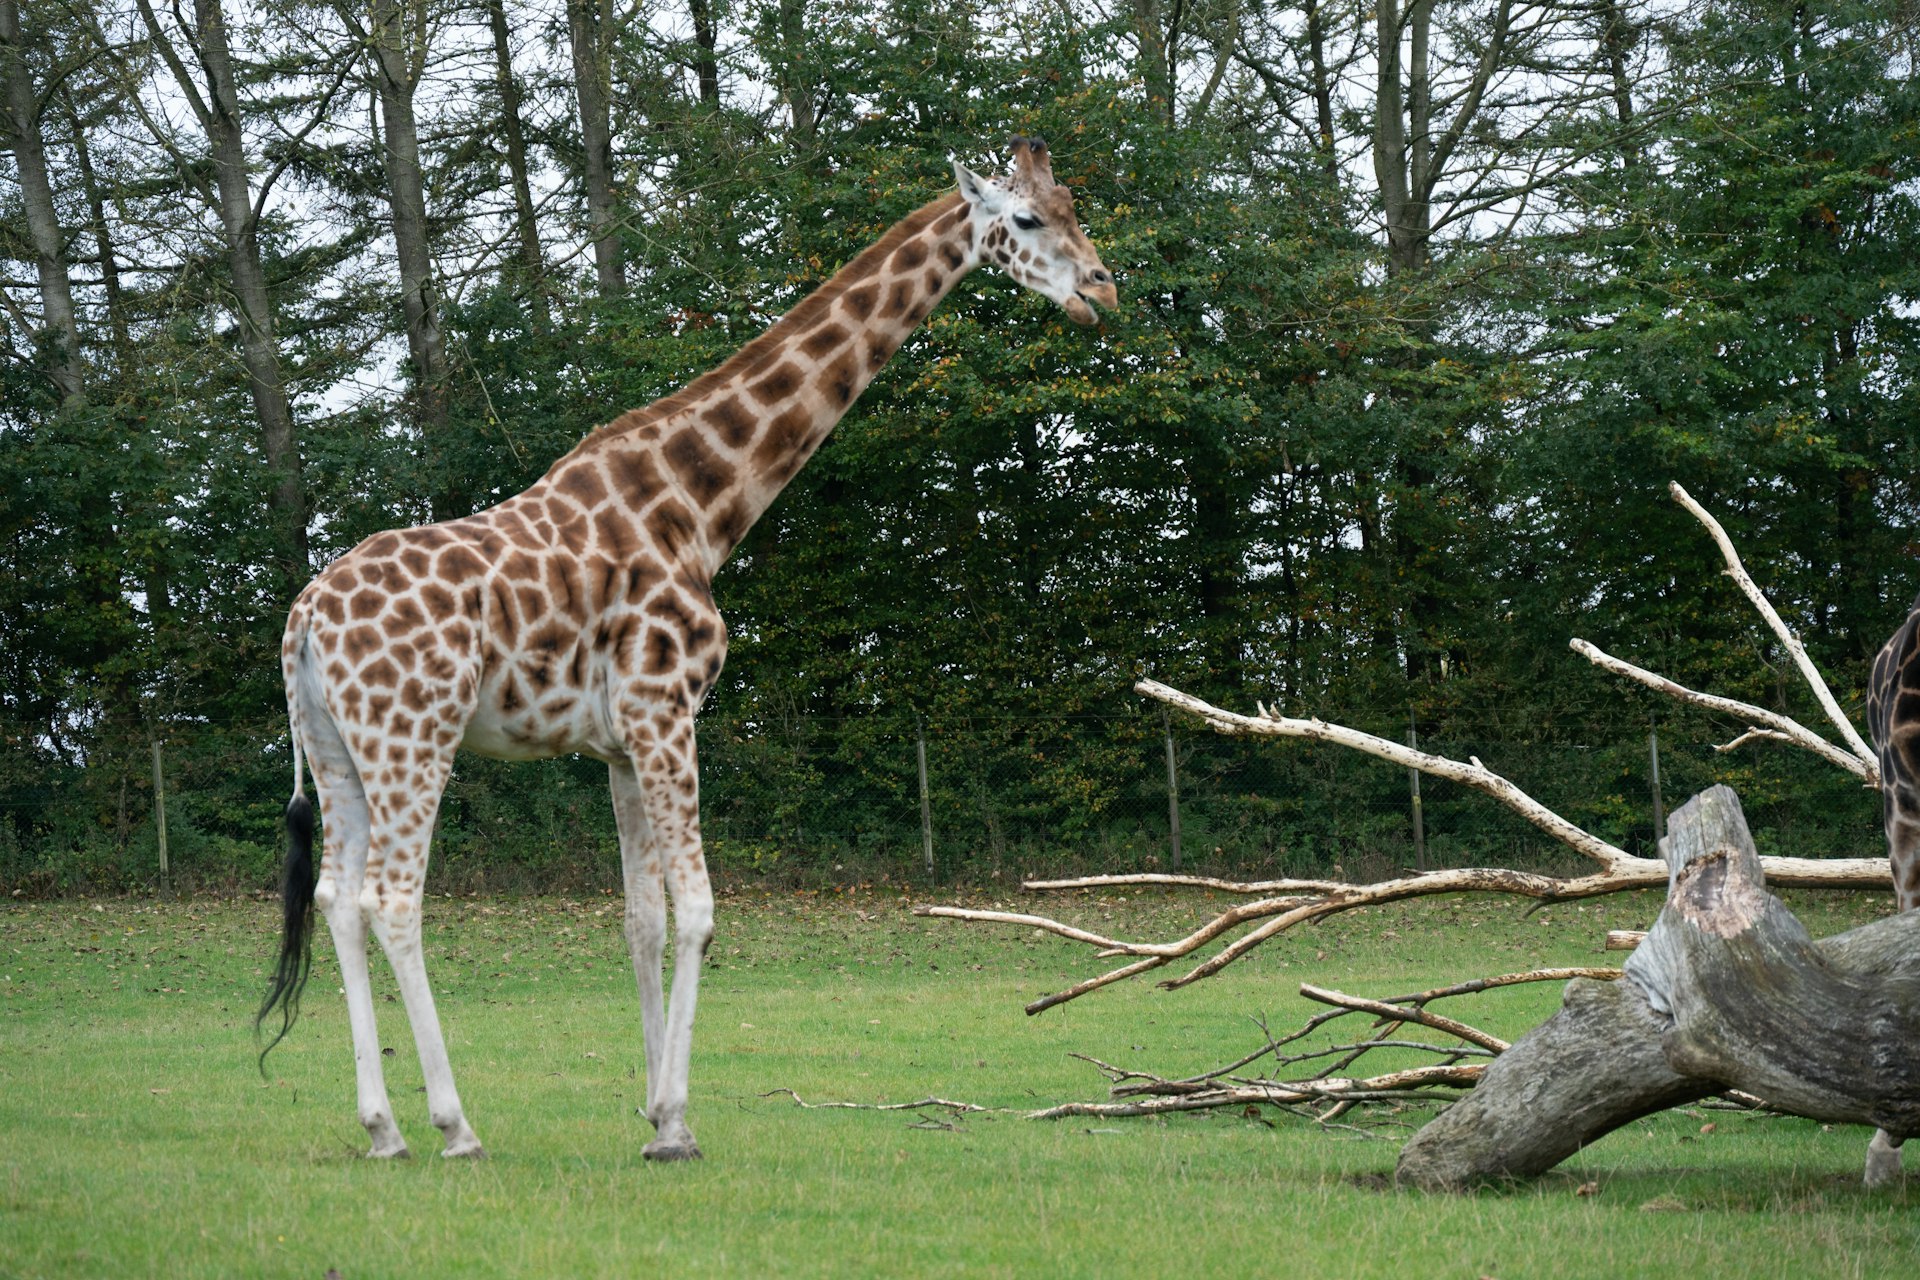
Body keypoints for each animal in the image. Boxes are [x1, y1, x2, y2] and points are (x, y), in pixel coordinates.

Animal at [255, 137, 1116, 1161]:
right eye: (1024, 219)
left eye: (1075, 209)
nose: (1102, 289)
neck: (700, 508)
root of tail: (304, 616)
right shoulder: (667, 709)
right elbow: (701, 914)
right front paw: (674, 1126)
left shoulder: (621, 744)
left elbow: (642, 923)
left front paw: (659, 1110)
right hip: (412, 738)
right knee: (391, 902)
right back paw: (454, 1126)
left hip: (339, 749)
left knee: (336, 901)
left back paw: (382, 1127)